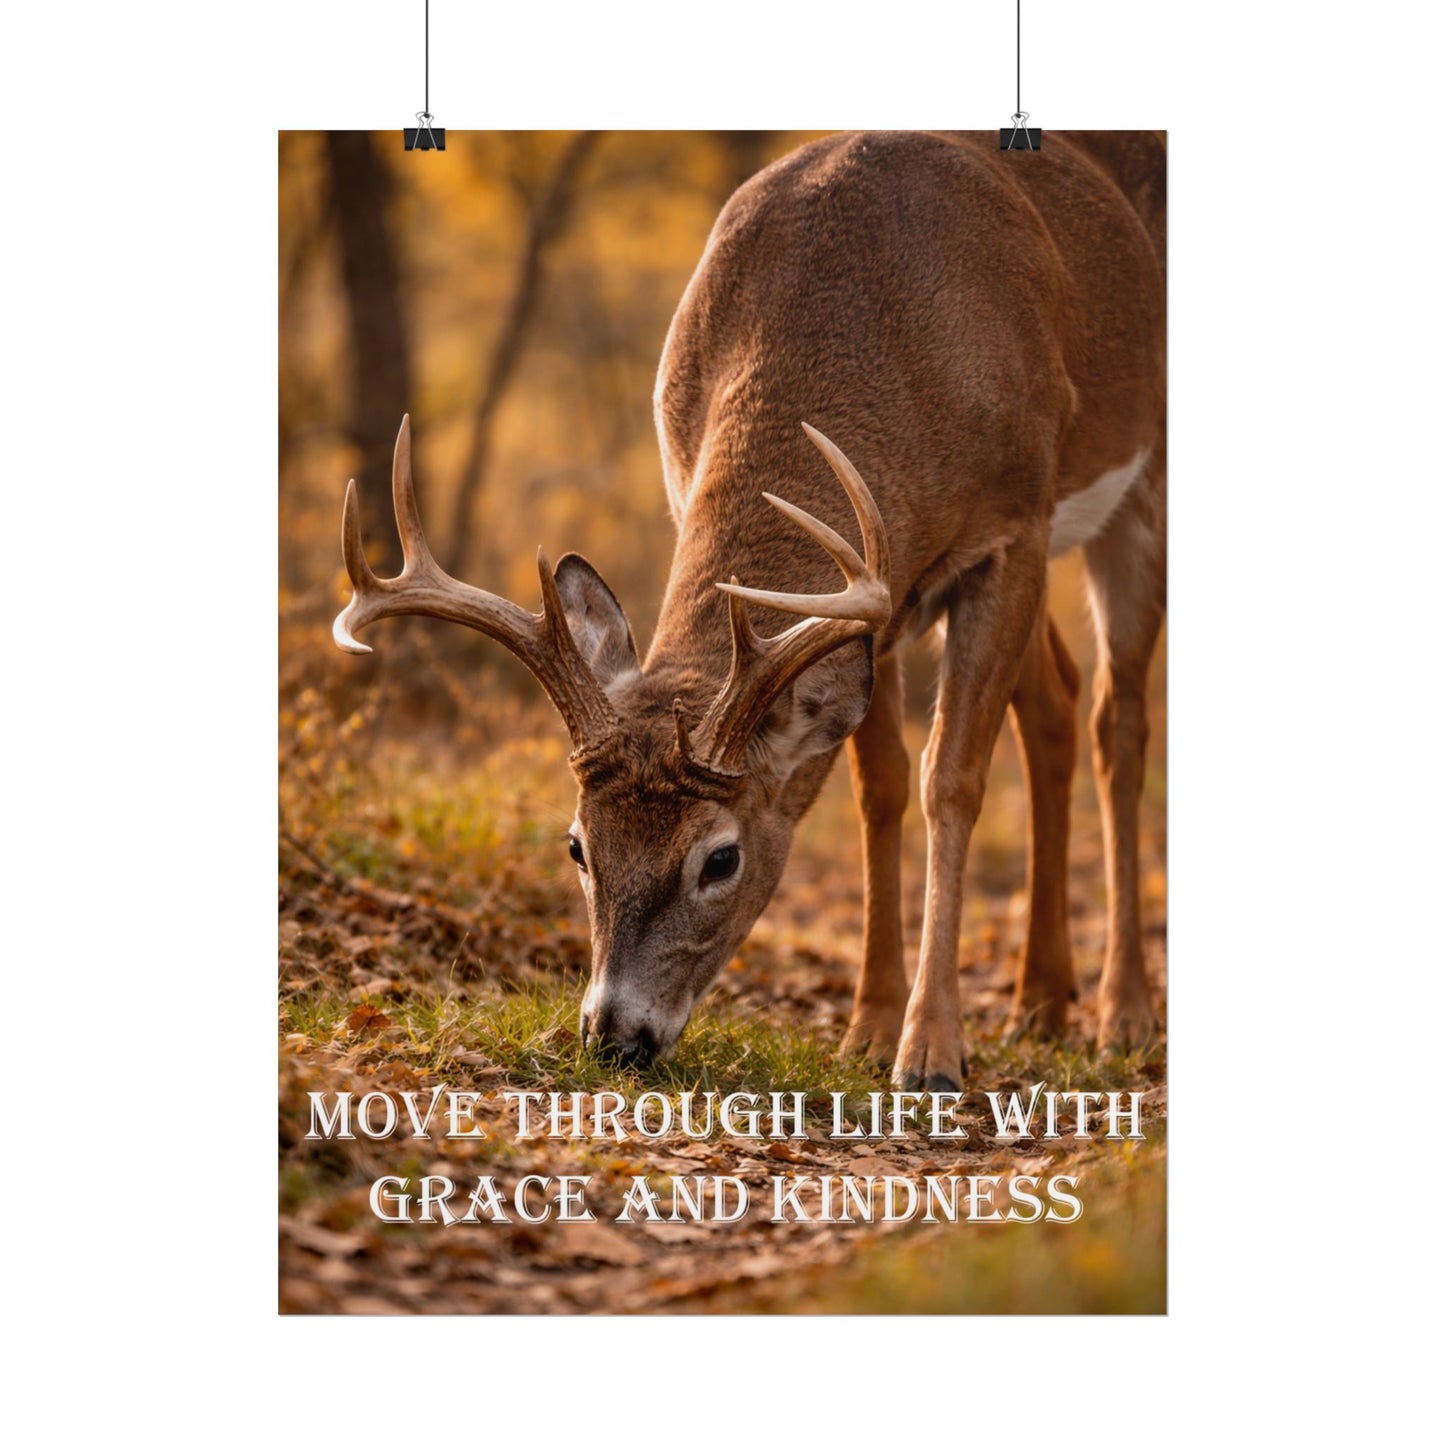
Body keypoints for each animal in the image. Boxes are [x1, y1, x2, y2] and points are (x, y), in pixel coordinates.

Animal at [333, 130, 1166, 1093]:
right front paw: (869, 1027)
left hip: (1136, 488)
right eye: (577, 844)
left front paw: (930, 1050)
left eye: (719, 857)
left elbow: (948, 781)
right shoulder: (866, 592)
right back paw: (1041, 1000)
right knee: (1059, 699)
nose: (615, 1036)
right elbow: (878, 787)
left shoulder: (1010, 528)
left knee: (1117, 721)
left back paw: (1123, 1013)